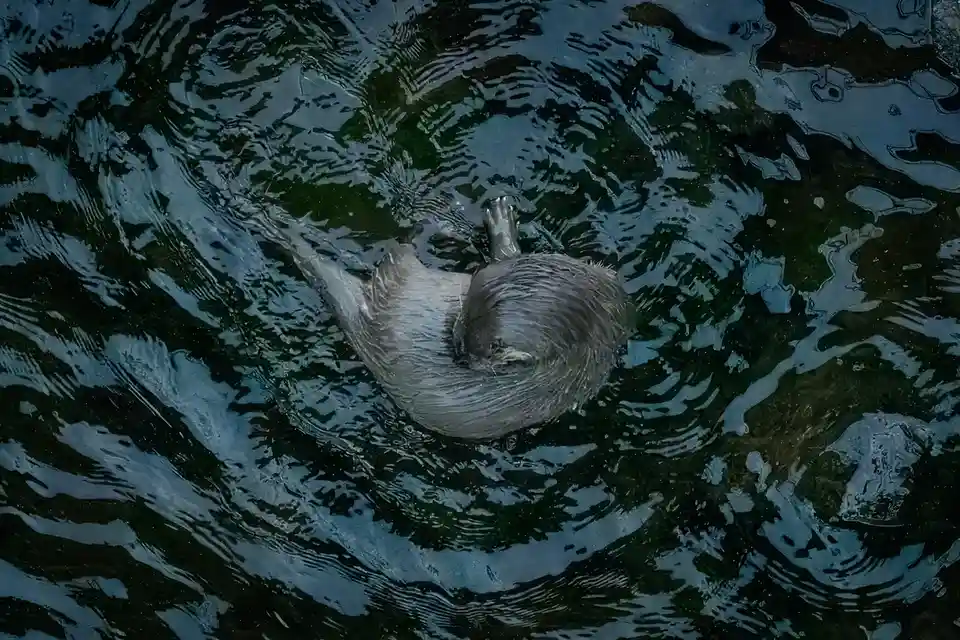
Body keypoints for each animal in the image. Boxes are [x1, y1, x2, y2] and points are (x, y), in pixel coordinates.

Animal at [273, 196, 633, 440]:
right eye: (462, 314)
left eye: (482, 349)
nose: (456, 349)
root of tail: (364, 323)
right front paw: (501, 223)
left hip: (401, 275)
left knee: (398, 252)